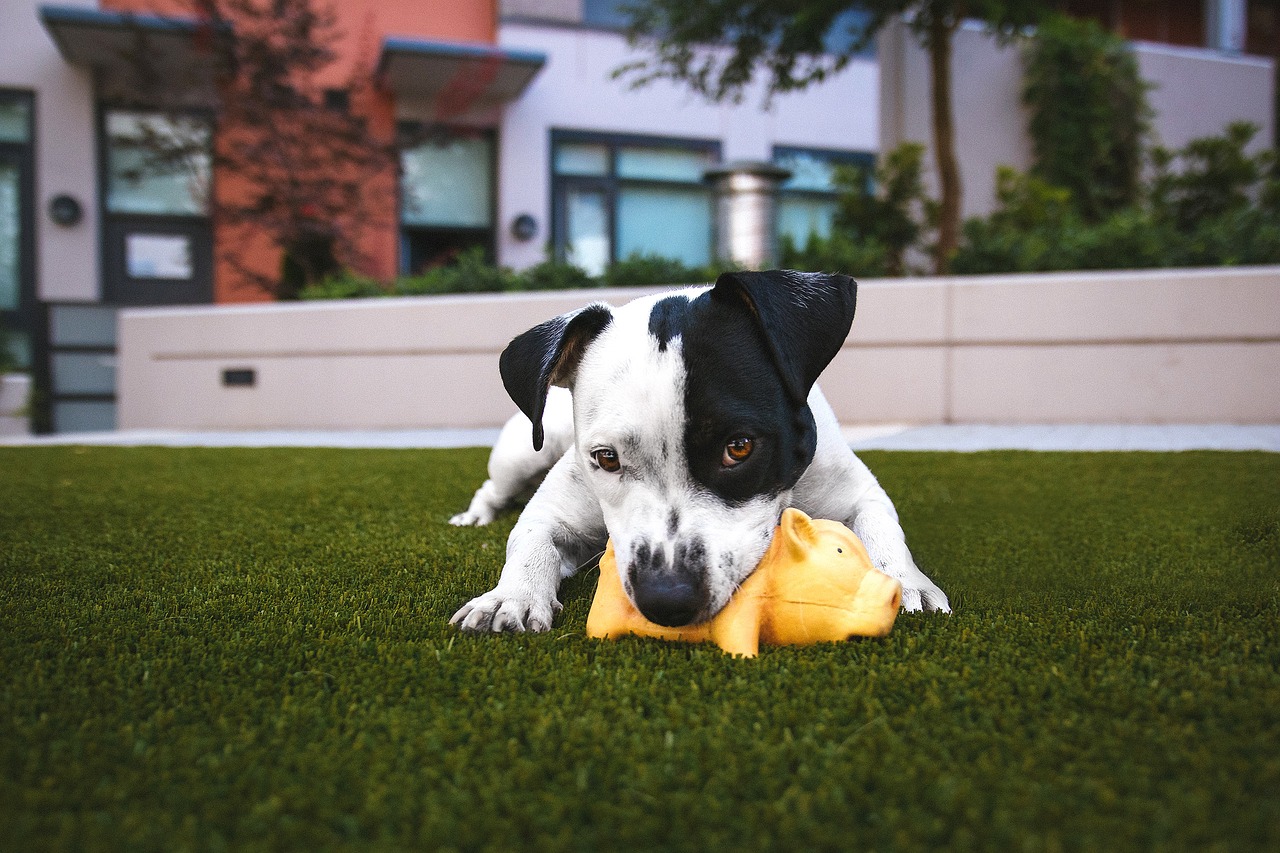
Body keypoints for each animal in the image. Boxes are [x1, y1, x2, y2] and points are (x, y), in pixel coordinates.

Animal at [450, 270, 952, 630]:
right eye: (606, 458)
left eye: (739, 447)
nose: (666, 599)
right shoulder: (554, 510)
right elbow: (530, 540)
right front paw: (509, 597)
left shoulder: (857, 492)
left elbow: (881, 528)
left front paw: (903, 580)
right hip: (523, 453)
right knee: (492, 488)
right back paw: (475, 516)